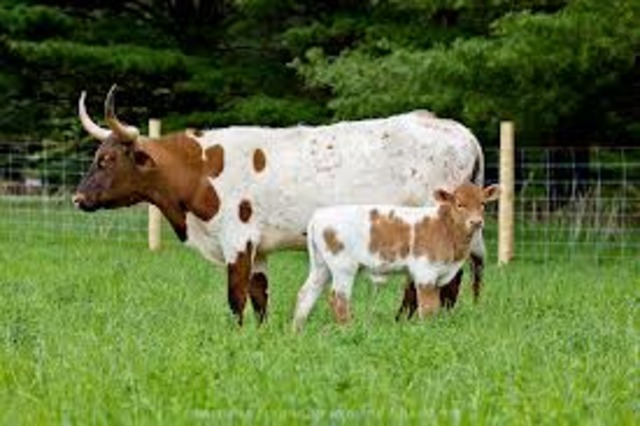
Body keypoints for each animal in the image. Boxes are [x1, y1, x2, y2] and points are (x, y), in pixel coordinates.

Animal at [292, 183, 500, 331]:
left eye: (482, 204)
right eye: (459, 204)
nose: (476, 222)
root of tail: (319, 215)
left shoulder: (438, 274)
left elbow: (434, 304)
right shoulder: (425, 271)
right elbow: (427, 306)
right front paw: (427, 332)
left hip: (321, 266)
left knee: (306, 293)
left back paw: (297, 331)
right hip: (343, 266)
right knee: (338, 298)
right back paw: (347, 330)